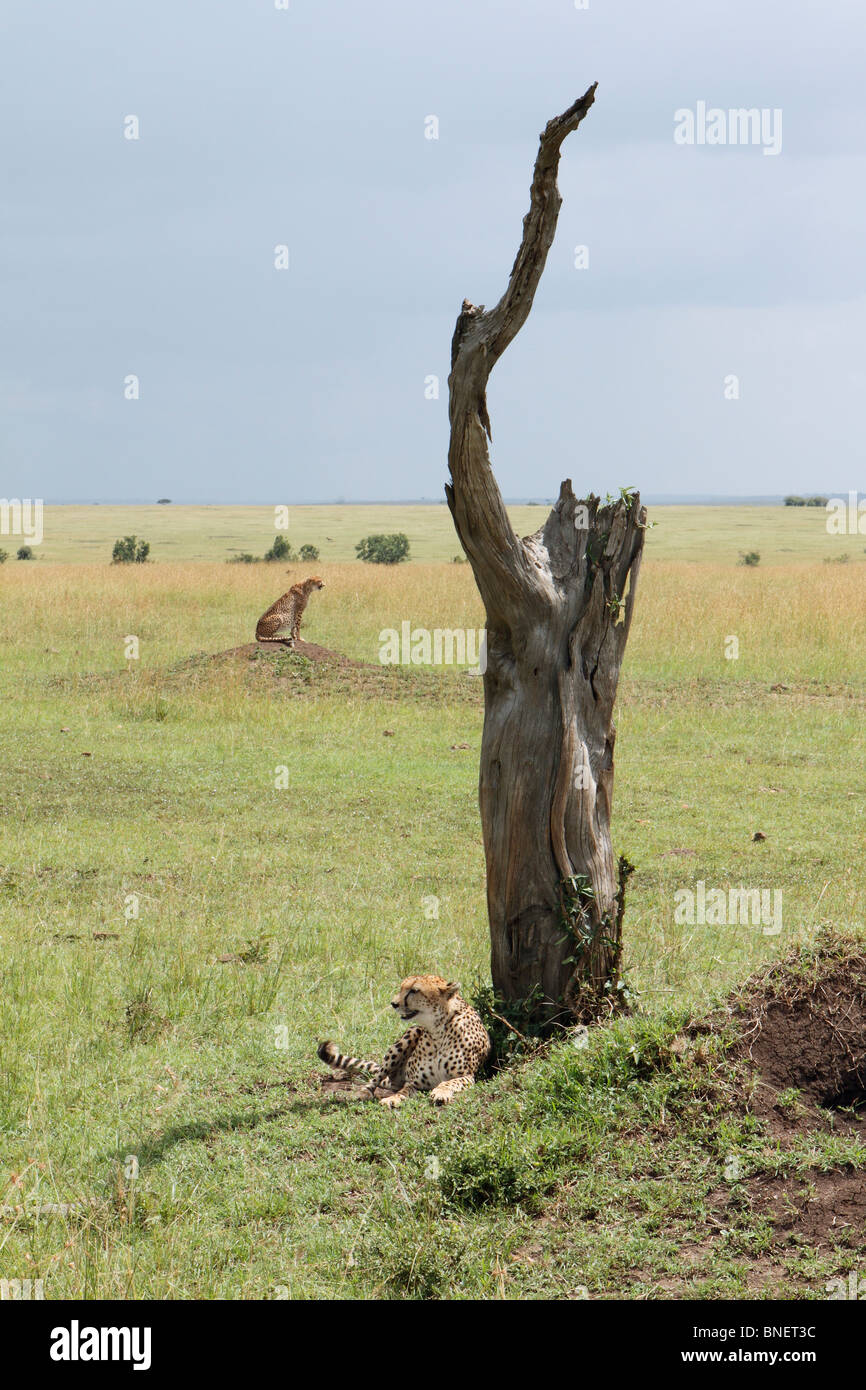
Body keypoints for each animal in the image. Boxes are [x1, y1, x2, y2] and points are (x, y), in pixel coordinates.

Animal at [319, 978, 494, 1106]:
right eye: (402, 988)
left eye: (414, 991)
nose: (394, 1004)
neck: (437, 1030)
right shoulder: (414, 1082)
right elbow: (403, 1091)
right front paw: (392, 1099)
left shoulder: (468, 1076)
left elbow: (449, 1083)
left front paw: (440, 1093)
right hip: (409, 1034)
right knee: (377, 1077)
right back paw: (363, 1093)